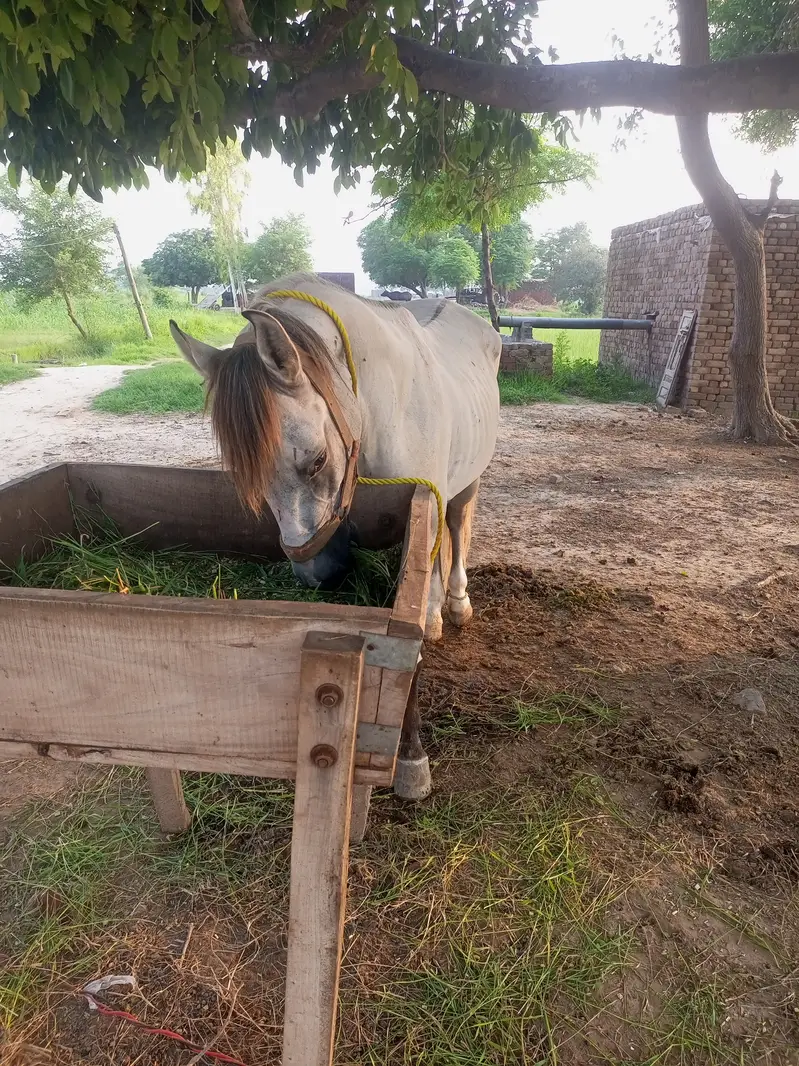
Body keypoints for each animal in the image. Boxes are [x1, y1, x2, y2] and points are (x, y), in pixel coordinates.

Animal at [170, 273, 501, 797]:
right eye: (245, 477)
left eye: (317, 461)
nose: (313, 574)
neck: (382, 410)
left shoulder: (420, 528)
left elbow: (408, 651)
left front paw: (411, 762)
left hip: (467, 484)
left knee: (458, 526)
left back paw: (457, 603)